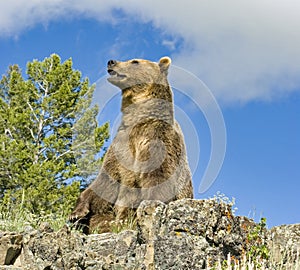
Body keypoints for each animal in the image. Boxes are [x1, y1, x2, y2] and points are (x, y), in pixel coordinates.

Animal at [69, 56, 193, 233]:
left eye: (135, 61)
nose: (111, 62)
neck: (138, 119)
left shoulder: (157, 138)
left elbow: (158, 176)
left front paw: (147, 211)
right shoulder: (120, 145)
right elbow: (105, 181)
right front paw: (76, 213)